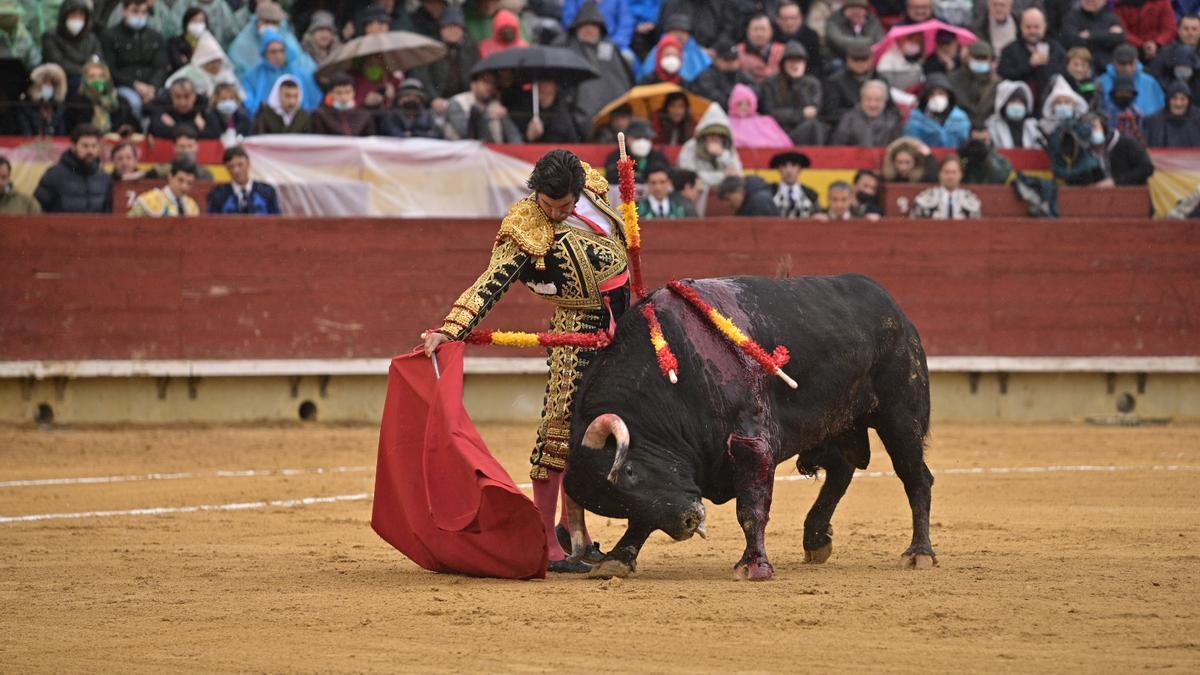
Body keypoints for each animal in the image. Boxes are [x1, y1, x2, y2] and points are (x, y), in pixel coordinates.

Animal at [561, 273, 936, 578]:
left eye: (628, 472)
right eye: (613, 500)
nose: (688, 523)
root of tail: (891, 305)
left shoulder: (751, 444)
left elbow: (751, 508)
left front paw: (754, 566)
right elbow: (645, 515)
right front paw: (617, 559)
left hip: (900, 414)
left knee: (915, 477)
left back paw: (920, 554)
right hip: (835, 423)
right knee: (841, 469)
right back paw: (816, 539)